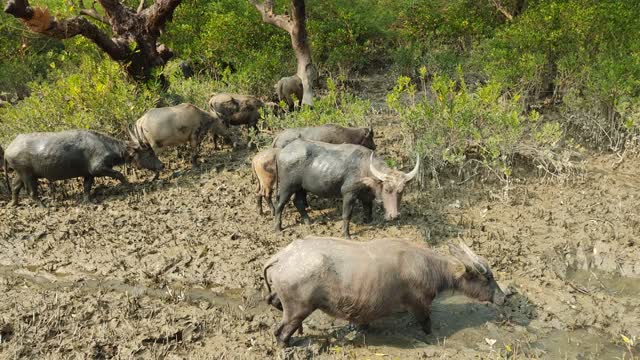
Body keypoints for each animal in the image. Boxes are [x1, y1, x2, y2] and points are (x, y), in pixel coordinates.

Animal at [3, 129, 164, 205]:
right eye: (150, 152)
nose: (162, 165)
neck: (104, 145)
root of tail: (8, 149)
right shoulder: (98, 169)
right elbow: (120, 174)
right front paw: (130, 187)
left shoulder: (89, 174)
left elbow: (87, 187)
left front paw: (88, 201)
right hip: (28, 175)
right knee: (31, 193)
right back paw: (43, 206)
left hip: (20, 173)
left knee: (15, 187)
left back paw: (13, 204)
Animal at [264, 236, 504, 346]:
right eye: (488, 278)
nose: (503, 297)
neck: (427, 266)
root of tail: (281, 257)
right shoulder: (420, 306)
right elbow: (427, 326)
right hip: (298, 310)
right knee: (280, 332)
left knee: (272, 302)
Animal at [272, 139, 418, 238]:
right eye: (387, 190)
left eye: (401, 191)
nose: (395, 216)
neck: (364, 168)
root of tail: (282, 151)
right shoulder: (349, 194)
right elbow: (346, 215)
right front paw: (346, 234)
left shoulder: (366, 197)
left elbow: (368, 210)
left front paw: (368, 222)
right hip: (287, 187)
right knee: (280, 204)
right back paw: (278, 227)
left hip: (301, 187)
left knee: (298, 201)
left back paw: (308, 221)